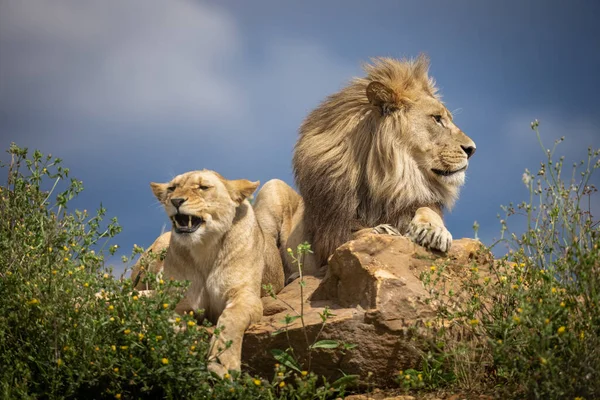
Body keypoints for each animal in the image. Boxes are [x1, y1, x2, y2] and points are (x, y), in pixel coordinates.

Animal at [149, 170, 292, 376]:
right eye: (172, 188)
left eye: (203, 187)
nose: (175, 200)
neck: (204, 248)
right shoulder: (176, 301)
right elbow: (168, 321)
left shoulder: (246, 296)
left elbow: (230, 318)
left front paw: (221, 363)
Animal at [292, 53, 476, 266]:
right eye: (437, 118)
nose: (472, 149)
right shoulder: (329, 234)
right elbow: (354, 234)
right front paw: (381, 229)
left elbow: (427, 209)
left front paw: (432, 230)